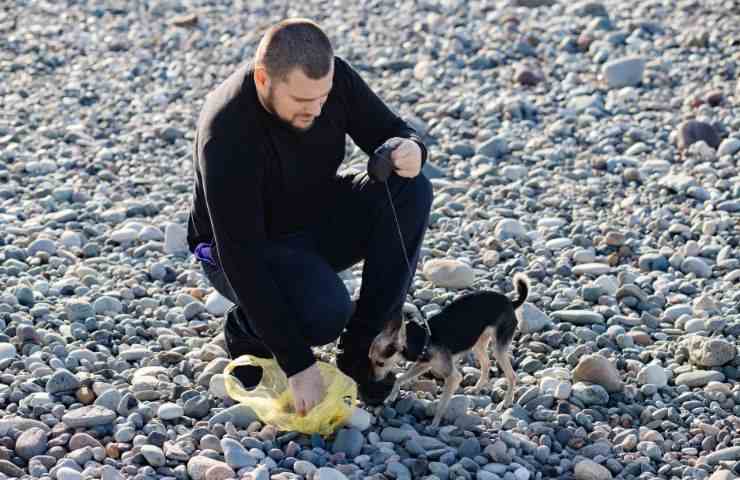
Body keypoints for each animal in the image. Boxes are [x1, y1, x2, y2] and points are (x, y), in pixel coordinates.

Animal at [368, 272, 528, 426]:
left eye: (380, 363)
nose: (374, 380)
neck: (425, 338)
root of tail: (511, 303)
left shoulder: (452, 377)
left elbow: (441, 404)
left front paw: (434, 424)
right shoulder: (424, 364)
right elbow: (399, 378)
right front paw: (391, 397)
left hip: (498, 348)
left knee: (512, 375)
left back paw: (507, 401)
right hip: (478, 343)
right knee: (487, 364)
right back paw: (476, 388)